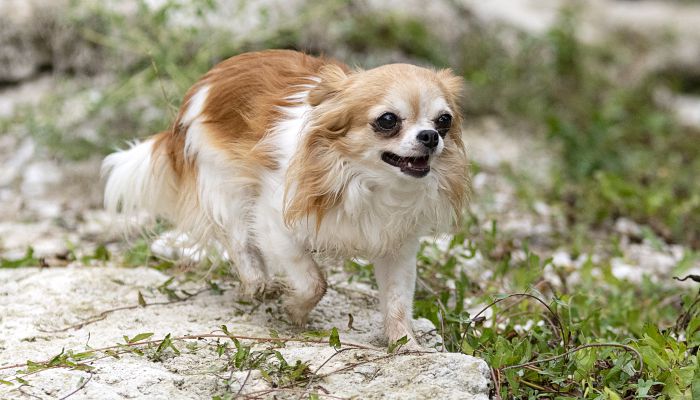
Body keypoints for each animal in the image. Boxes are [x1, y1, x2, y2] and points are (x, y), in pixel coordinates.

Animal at [102, 49, 470, 344]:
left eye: (444, 120)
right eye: (388, 120)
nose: (430, 136)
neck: (368, 181)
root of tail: (205, 84)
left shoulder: (398, 247)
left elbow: (397, 302)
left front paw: (406, 345)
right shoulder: (275, 224)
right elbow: (314, 282)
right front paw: (294, 310)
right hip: (224, 181)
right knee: (237, 239)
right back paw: (257, 281)